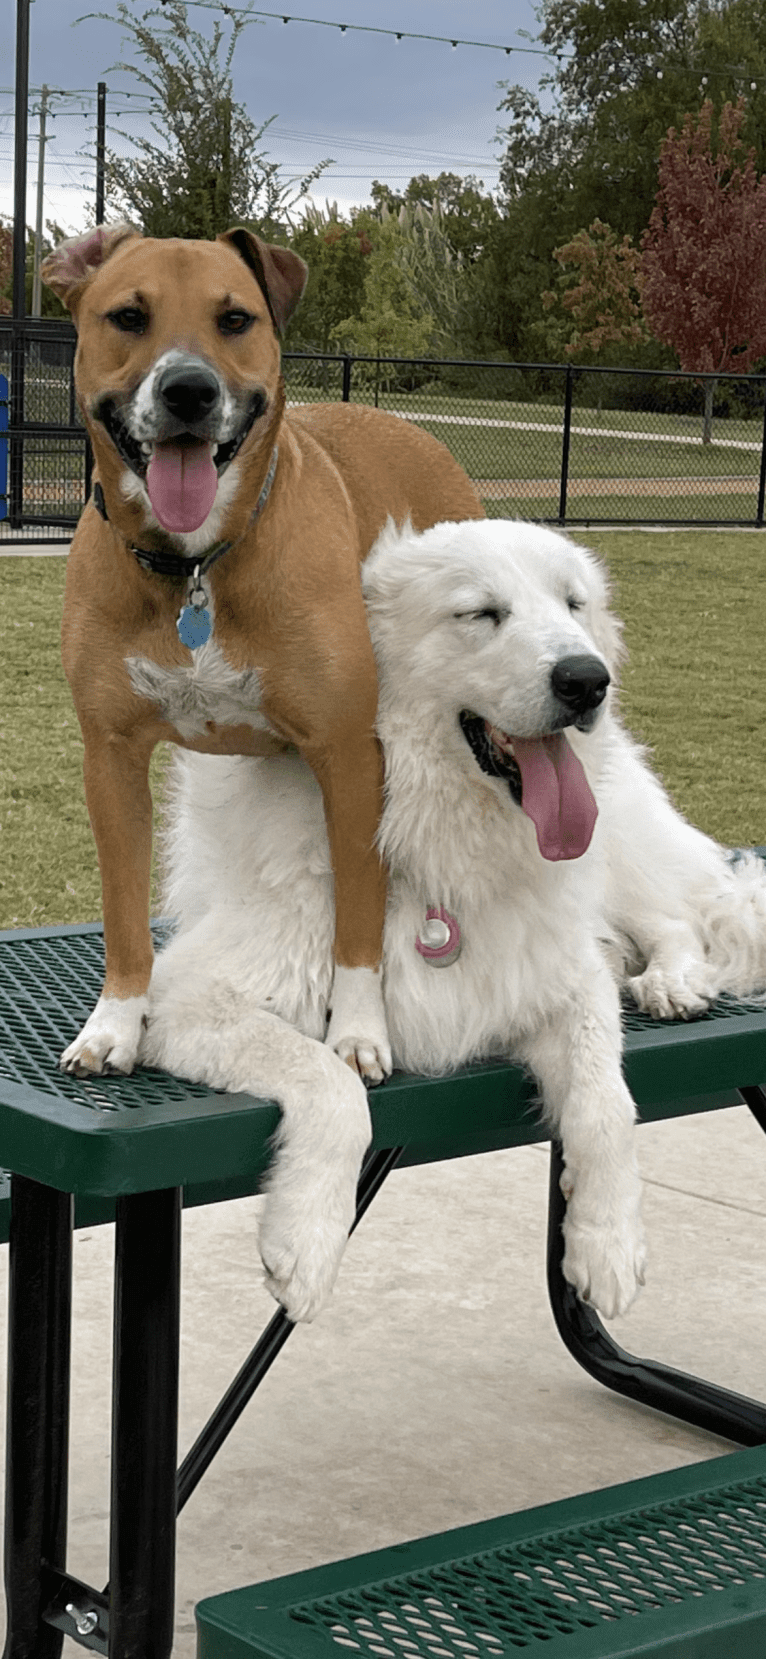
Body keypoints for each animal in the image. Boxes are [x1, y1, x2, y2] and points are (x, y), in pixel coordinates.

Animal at [38, 230, 480, 1088]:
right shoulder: (109, 760)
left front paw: (358, 1031)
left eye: (235, 318)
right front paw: (115, 1024)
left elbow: (360, 918)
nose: (189, 390)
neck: (197, 565)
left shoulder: (350, 758)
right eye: (128, 315)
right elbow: (122, 911)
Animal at [140, 517, 766, 1320]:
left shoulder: (568, 982)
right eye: (481, 613)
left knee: (676, 920)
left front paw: (608, 1241)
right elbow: (331, 1080)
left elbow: (607, 1101)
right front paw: (308, 1239)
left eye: (573, 603)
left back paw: (672, 984)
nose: (587, 678)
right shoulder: (187, 1002)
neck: (428, 848)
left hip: (616, 853)